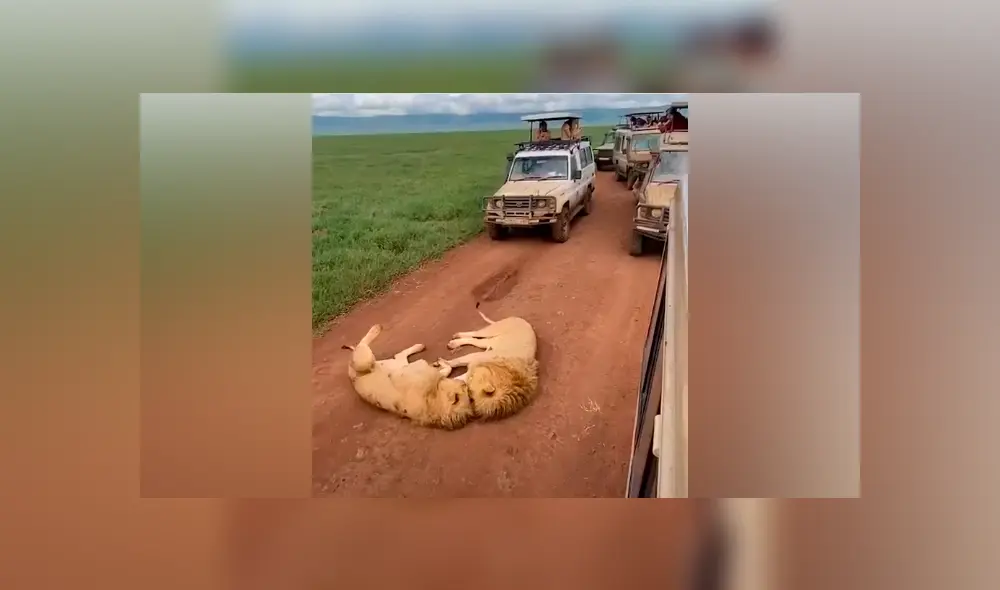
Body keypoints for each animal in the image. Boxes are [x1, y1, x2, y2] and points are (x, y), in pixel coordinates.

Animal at [342, 324, 475, 430]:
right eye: (462, 394)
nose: (464, 384)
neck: (433, 401)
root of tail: (350, 373)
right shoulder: (419, 368)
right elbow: (443, 369)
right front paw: (440, 364)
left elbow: (444, 371)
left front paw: (440, 366)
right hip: (365, 361)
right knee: (363, 345)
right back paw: (376, 329)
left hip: (380, 362)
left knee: (397, 355)